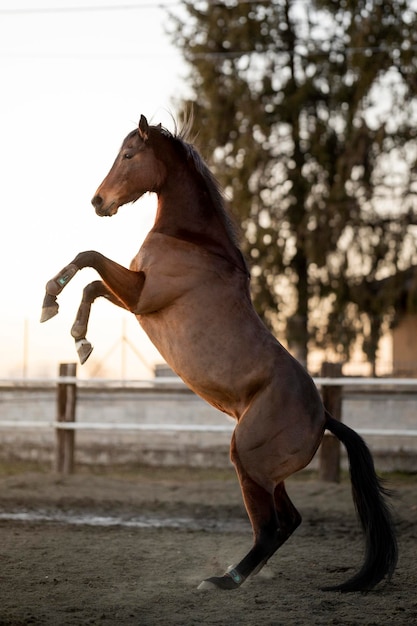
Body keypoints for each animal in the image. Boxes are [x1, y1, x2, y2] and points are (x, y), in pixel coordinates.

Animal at [41, 113, 396, 588]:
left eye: (129, 155)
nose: (99, 202)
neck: (192, 242)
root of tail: (324, 417)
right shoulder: (134, 298)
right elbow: (94, 283)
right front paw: (79, 339)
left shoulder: (143, 297)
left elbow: (89, 258)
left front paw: (51, 303)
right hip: (265, 473)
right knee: (288, 521)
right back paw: (238, 574)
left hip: (247, 460)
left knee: (272, 527)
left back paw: (225, 580)